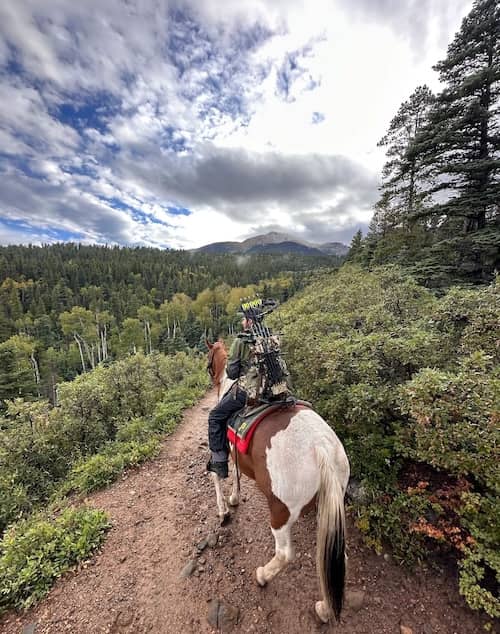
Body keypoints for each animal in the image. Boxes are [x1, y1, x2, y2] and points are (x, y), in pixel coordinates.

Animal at [205, 338, 350, 620]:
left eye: (208, 359)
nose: (210, 378)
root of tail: (321, 447)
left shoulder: (222, 447)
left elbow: (219, 474)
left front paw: (224, 509)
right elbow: (236, 475)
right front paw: (235, 498)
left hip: (281, 511)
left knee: (284, 554)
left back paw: (263, 575)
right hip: (329, 503)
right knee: (335, 555)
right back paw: (325, 609)